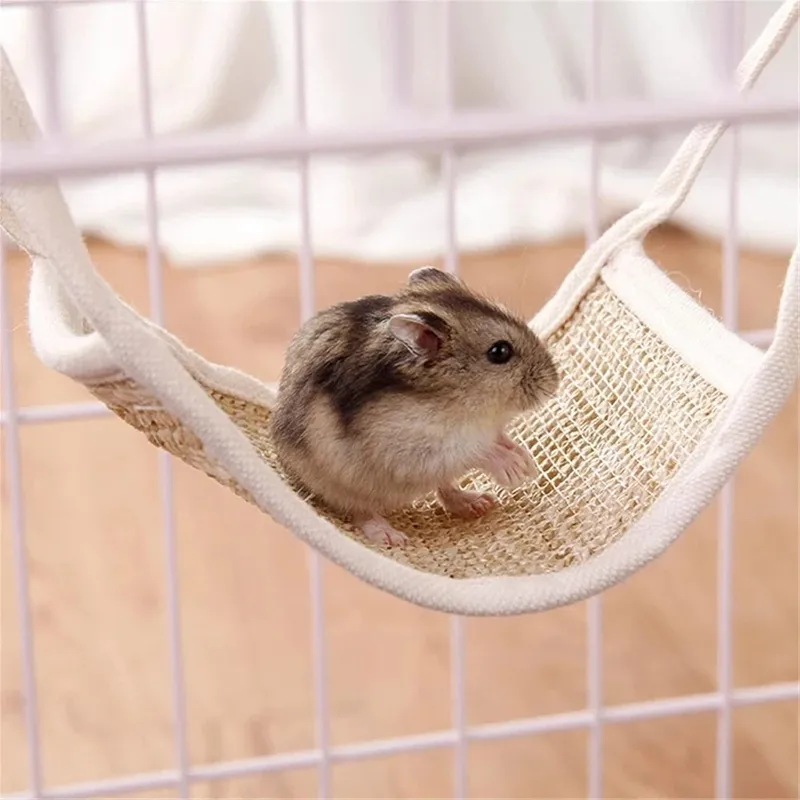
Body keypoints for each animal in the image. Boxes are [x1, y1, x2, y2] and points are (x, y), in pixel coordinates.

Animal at [270, 266, 560, 547]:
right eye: (500, 352)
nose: (554, 384)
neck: (468, 409)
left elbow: (499, 438)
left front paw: (526, 461)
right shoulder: (414, 448)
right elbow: (475, 450)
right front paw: (516, 470)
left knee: (445, 488)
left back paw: (477, 504)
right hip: (341, 481)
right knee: (361, 509)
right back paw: (390, 537)